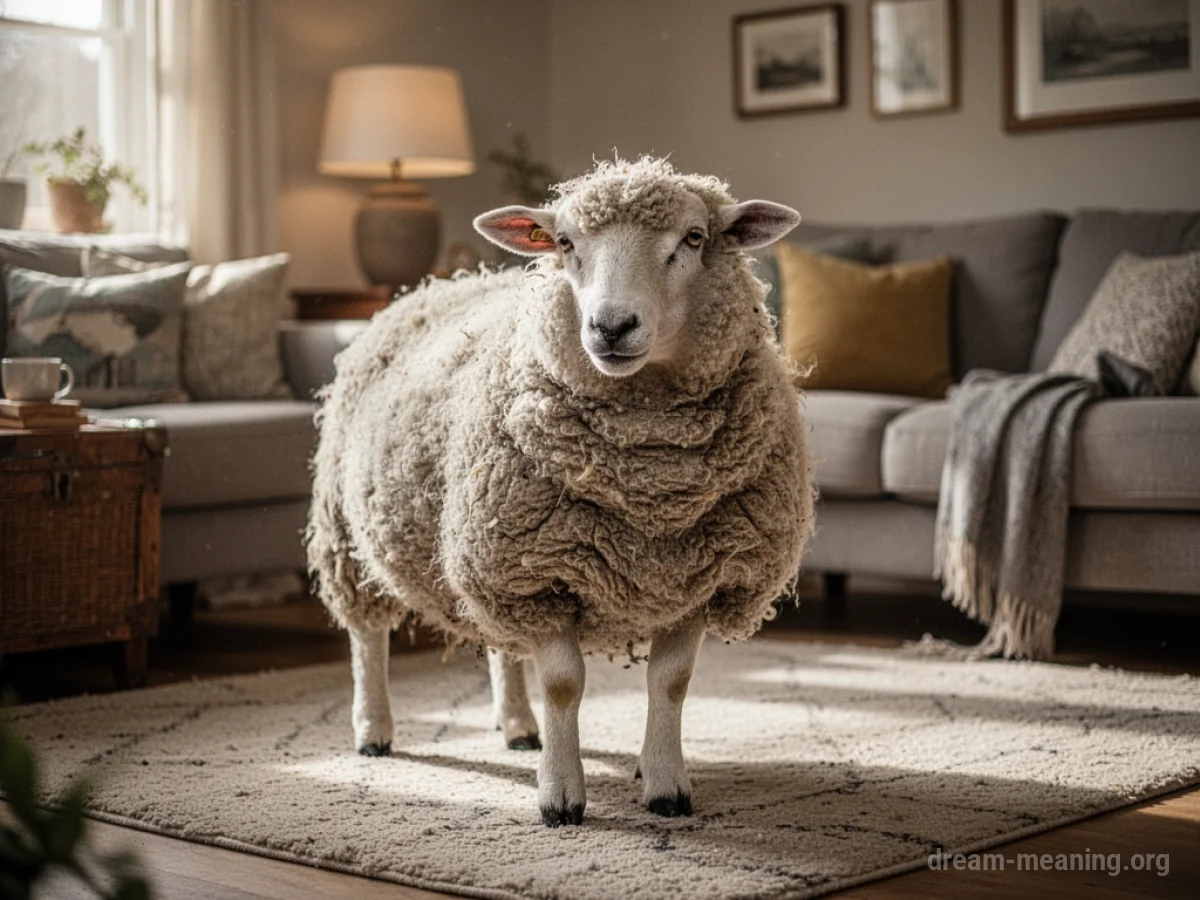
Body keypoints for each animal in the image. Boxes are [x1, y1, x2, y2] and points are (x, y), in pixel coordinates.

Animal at [307, 156, 814, 827]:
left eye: (694, 238)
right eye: (566, 243)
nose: (611, 326)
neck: (649, 487)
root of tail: (427, 288)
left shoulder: (699, 576)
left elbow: (670, 682)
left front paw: (665, 784)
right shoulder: (543, 570)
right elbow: (565, 685)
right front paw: (561, 797)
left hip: (491, 547)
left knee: (503, 643)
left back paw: (520, 727)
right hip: (358, 534)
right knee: (367, 636)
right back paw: (374, 731)